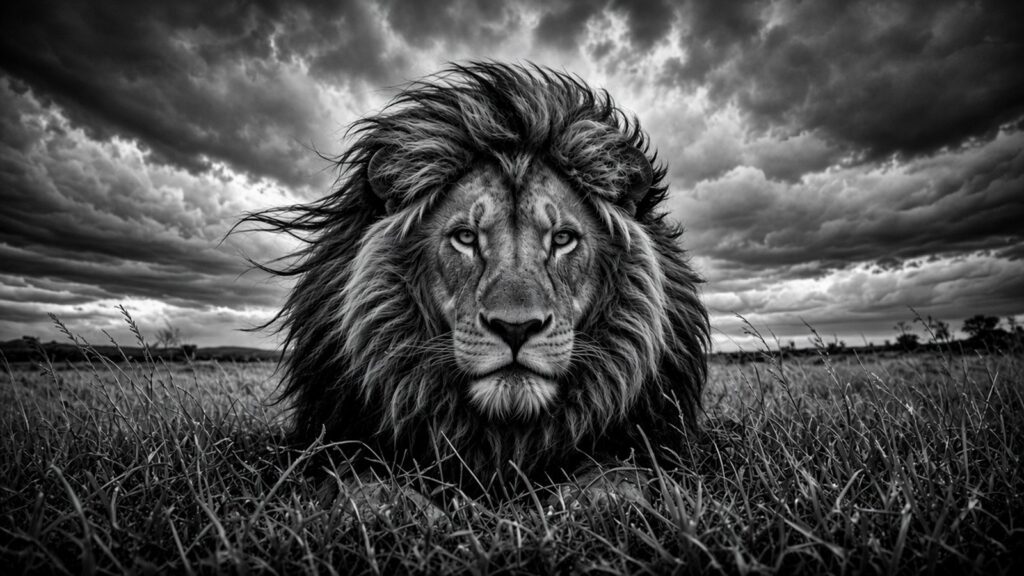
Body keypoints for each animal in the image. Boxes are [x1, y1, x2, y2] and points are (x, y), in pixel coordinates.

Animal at [246, 62, 708, 503]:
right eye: (466, 237)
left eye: (563, 239)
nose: (516, 328)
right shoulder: (337, 441)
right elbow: (361, 481)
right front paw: (403, 510)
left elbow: (617, 473)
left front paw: (602, 503)